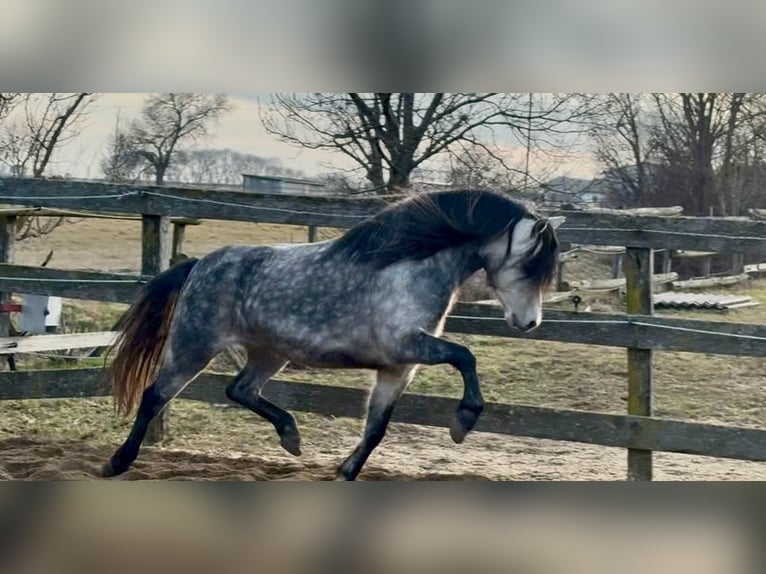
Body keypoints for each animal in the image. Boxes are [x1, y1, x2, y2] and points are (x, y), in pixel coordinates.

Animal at [102, 188, 563, 480]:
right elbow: (466, 355)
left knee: (240, 390)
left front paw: (345, 472)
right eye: (529, 265)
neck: (411, 266)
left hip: (270, 353)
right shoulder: (406, 344)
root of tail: (199, 264)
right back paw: (116, 464)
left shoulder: (400, 367)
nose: (529, 323)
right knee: (154, 396)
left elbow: (376, 428)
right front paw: (462, 423)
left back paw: (291, 437)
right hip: (193, 346)